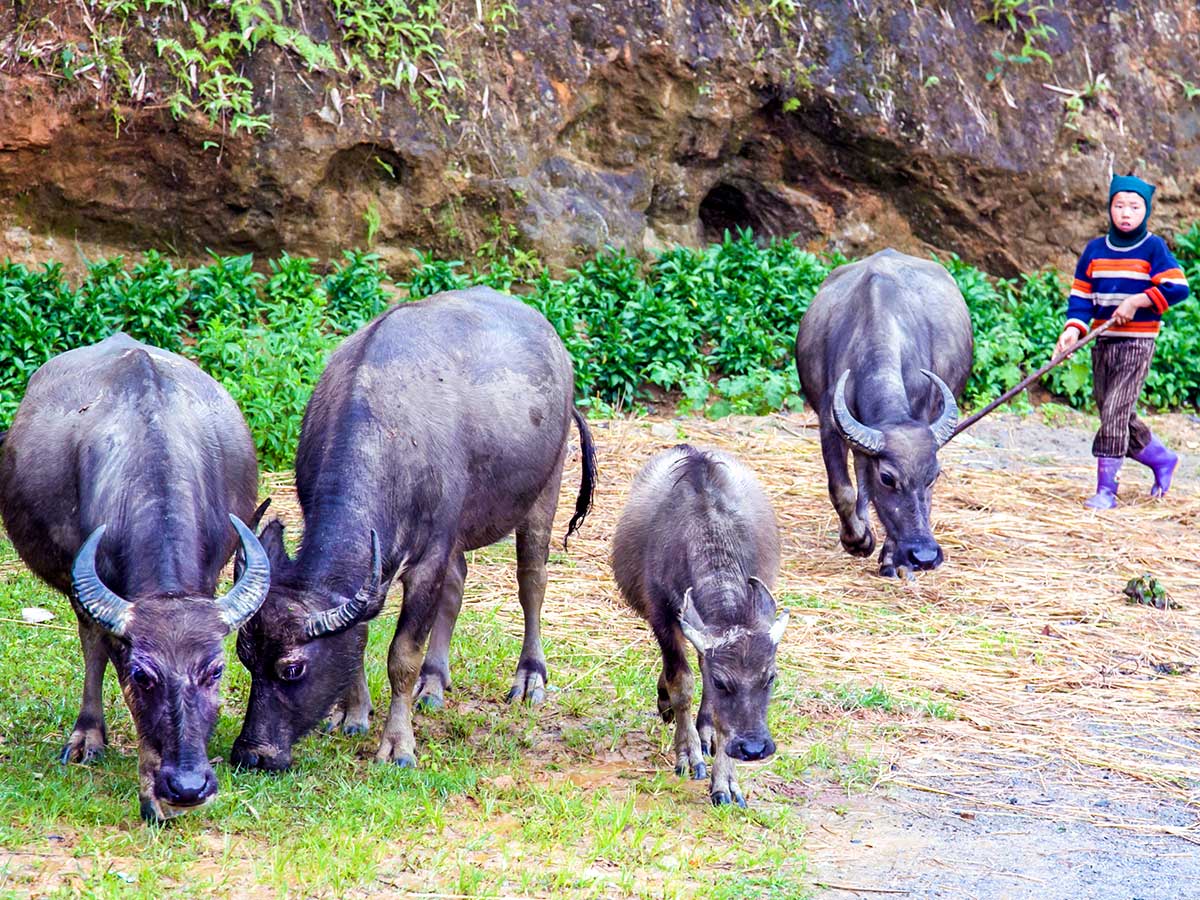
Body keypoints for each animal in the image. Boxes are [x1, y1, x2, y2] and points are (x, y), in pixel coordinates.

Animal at [0, 333, 272, 825]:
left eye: (216, 671)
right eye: (144, 675)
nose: (188, 786)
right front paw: (154, 795)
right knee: (89, 644)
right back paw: (87, 736)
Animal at [230, 285, 595, 772]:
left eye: (292, 668)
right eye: (245, 656)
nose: (252, 754)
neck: (390, 439)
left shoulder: (427, 559)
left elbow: (401, 655)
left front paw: (397, 745)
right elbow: (361, 636)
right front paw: (353, 713)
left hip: (546, 486)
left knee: (532, 581)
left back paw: (529, 678)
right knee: (458, 581)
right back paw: (434, 681)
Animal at [609, 448, 787, 806]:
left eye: (770, 677)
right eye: (722, 682)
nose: (753, 749)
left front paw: (726, 781)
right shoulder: (662, 616)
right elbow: (682, 682)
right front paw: (688, 753)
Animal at [796, 248, 974, 578]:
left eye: (934, 475)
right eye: (888, 478)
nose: (925, 555)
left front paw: (892, 558)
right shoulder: (829, 424)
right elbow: (842, 489)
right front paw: (858, 540)